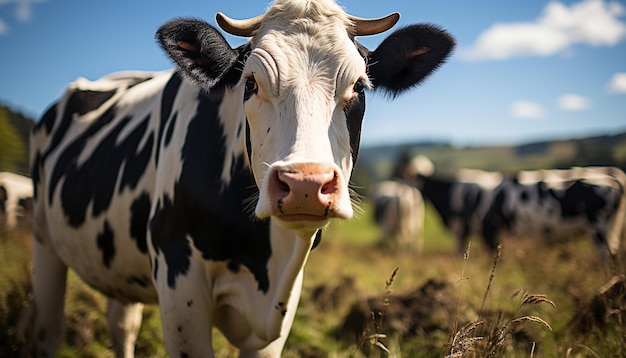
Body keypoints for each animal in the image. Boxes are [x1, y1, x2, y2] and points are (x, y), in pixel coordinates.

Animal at [26, 1, 454, 356]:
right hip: (44, 242)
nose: (305, 185)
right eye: (250, 83)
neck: (267, 256)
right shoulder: (180, 284)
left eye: (360, 87)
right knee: (47, 328)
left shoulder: (281, 308)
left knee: (122, 324)